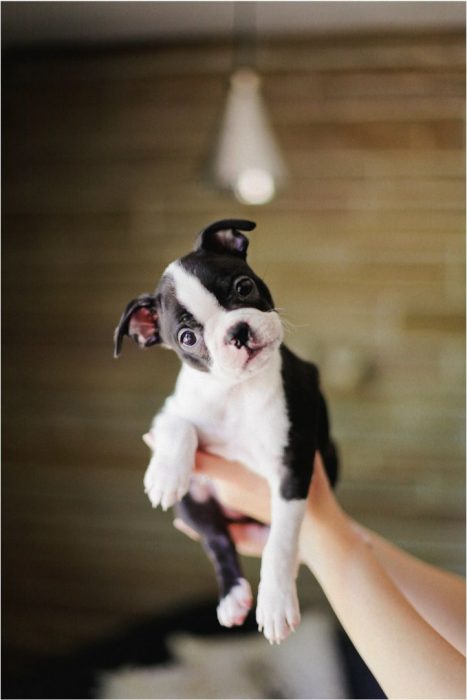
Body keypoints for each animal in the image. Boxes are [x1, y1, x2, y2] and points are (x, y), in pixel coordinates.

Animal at [113, 220, 340, 644]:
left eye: (243, 287)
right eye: (187, 337)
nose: (238, 331)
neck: (237, 390)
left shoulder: (292, 467)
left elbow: (282, 542)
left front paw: (276, 603)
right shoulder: (171, 409)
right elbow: (178, 424)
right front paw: (165, 474)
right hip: (195, 502)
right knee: (218, 539)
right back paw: (232, 596)